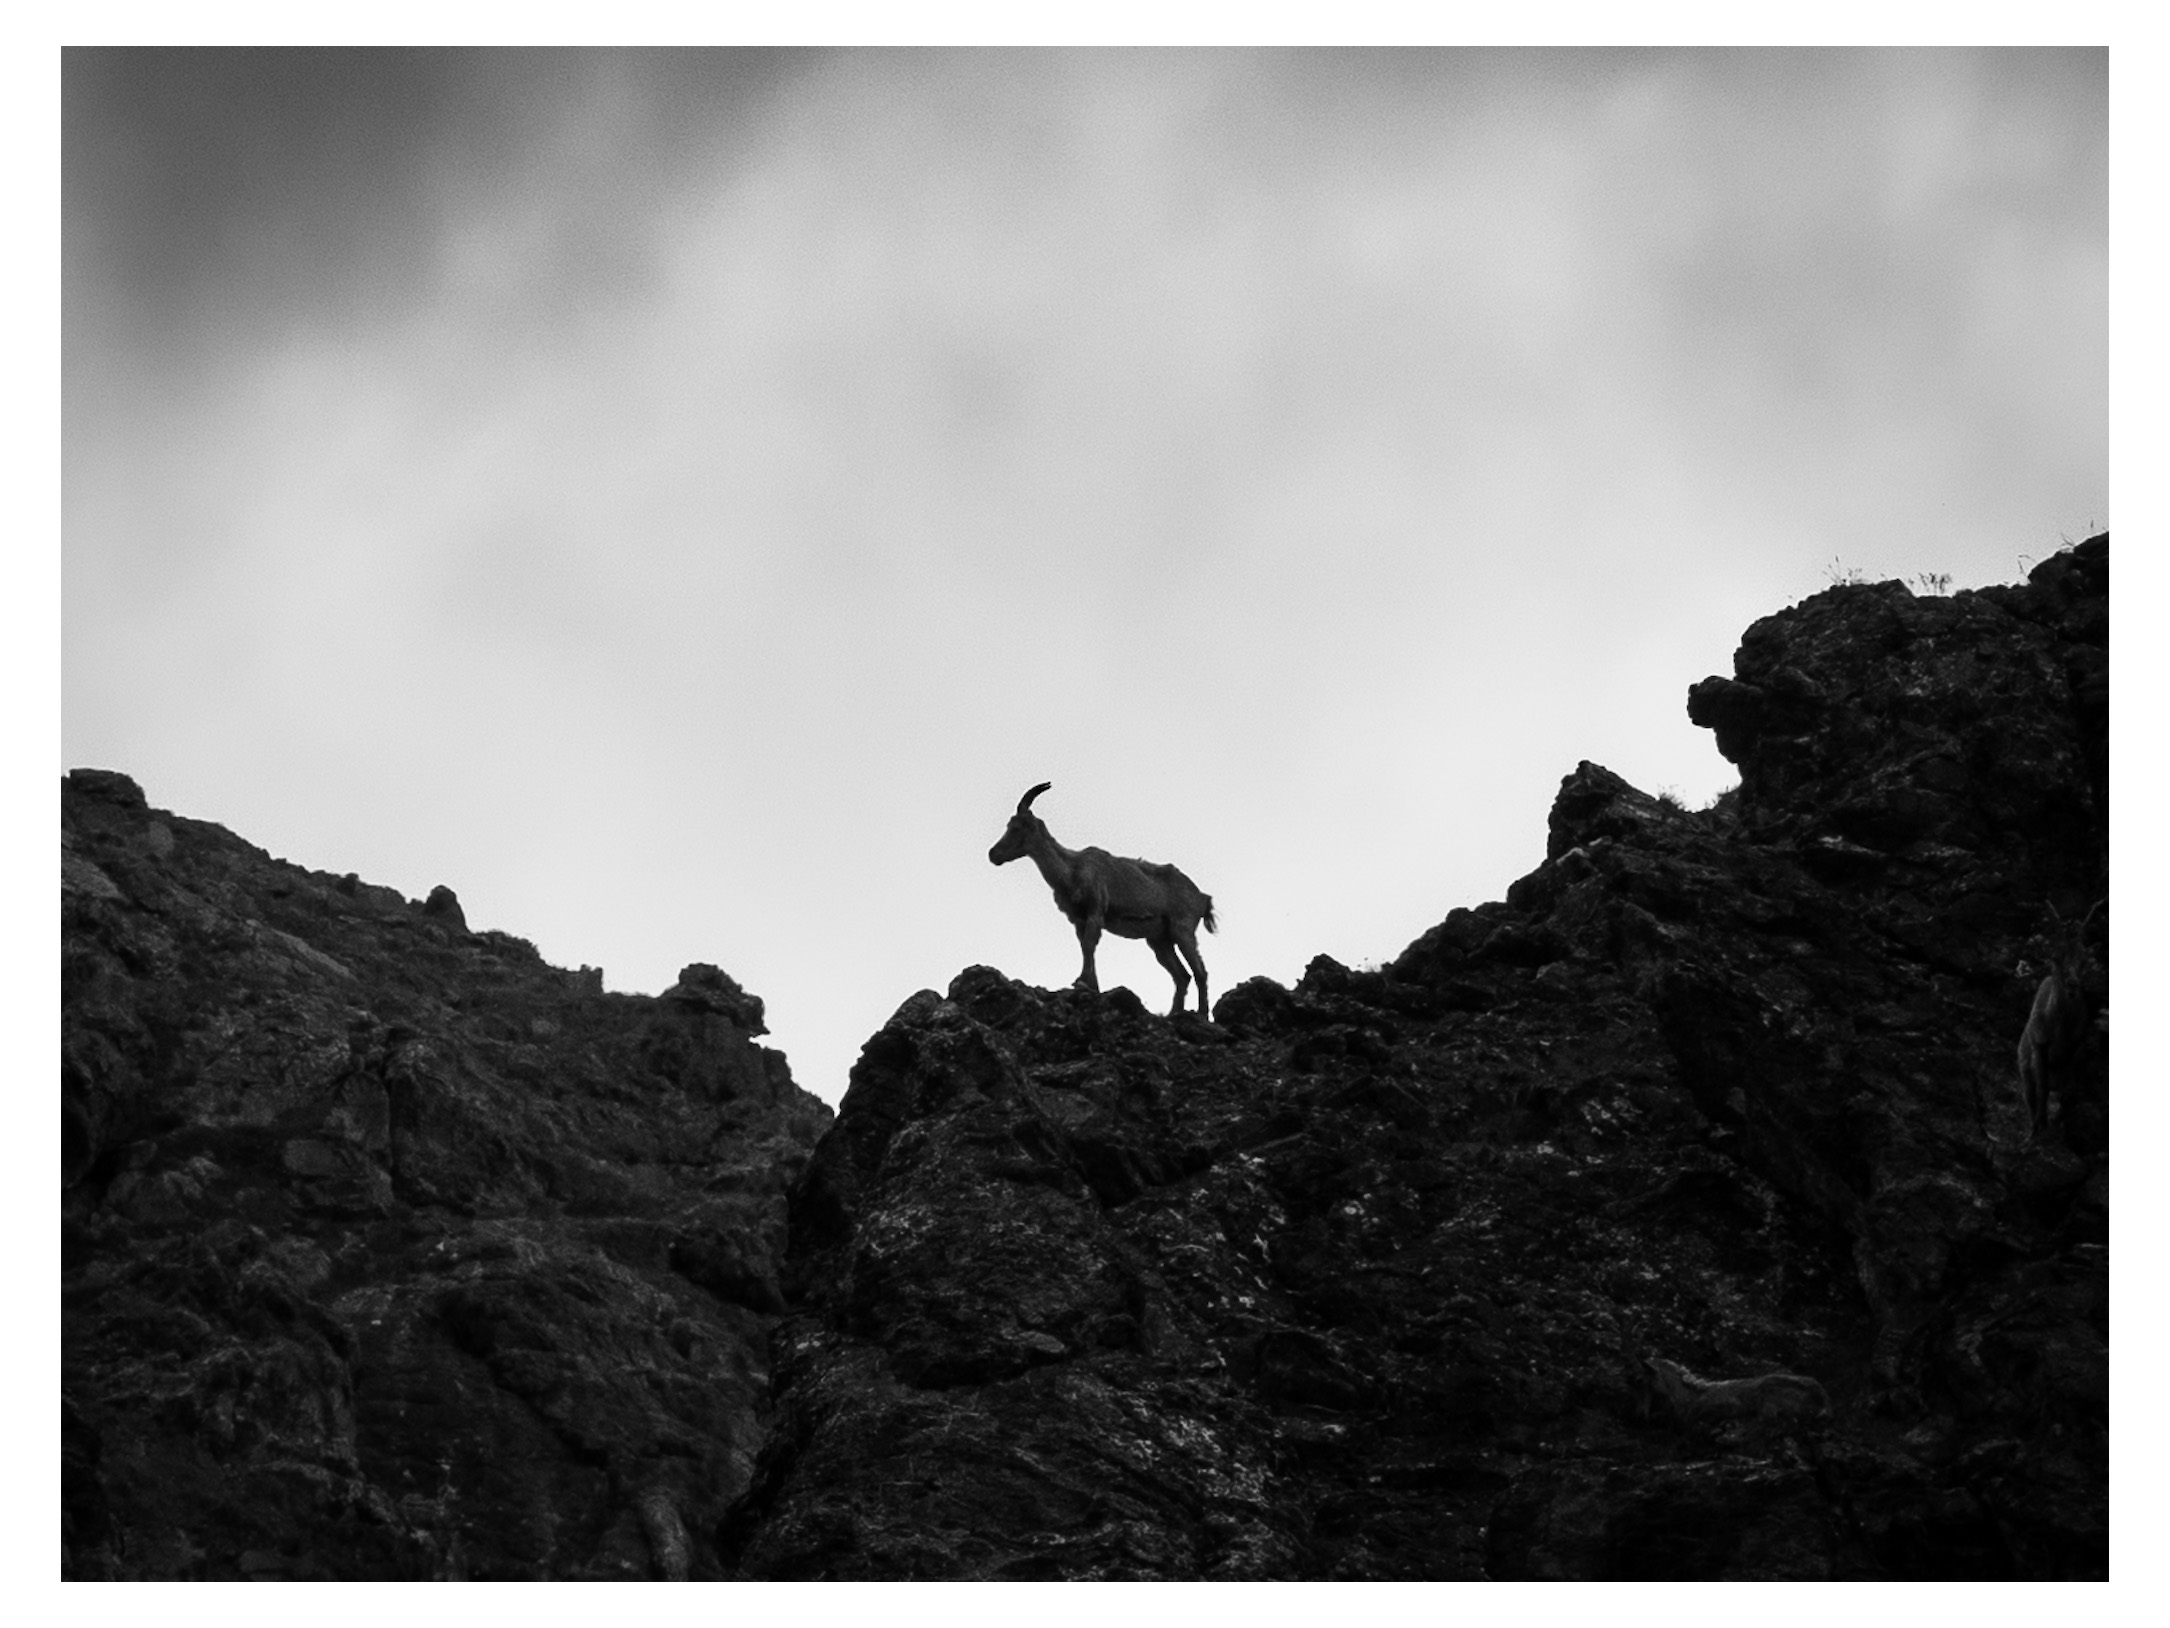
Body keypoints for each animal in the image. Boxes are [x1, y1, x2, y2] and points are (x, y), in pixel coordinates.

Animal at [988, 782, 1217, 1017]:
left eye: (1017, 827)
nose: (993, 854)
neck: (1072, 871)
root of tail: (1203, 898)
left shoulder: (1095, 910)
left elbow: (1090, 944)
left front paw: (1083, 983)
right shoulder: (1078, 919)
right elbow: (1084, 946)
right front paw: (1091, 985)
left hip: (1183, 929)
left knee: (1200, 971)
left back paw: (1201, 1013)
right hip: (1160, 940)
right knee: (1182, 975)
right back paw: (1174, 1013)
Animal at [2016, 898, 2105, 1140]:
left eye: (2084, 961)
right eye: (2056, 958)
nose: (2072, 984)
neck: (2059, 1029)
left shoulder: (2074, 1047)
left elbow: (2064, 1087)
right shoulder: (2039, 1046)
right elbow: (2042, 1088)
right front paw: (2040, 1126)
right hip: (2024, 1067)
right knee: (2030, 1094)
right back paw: (2032, 1128)